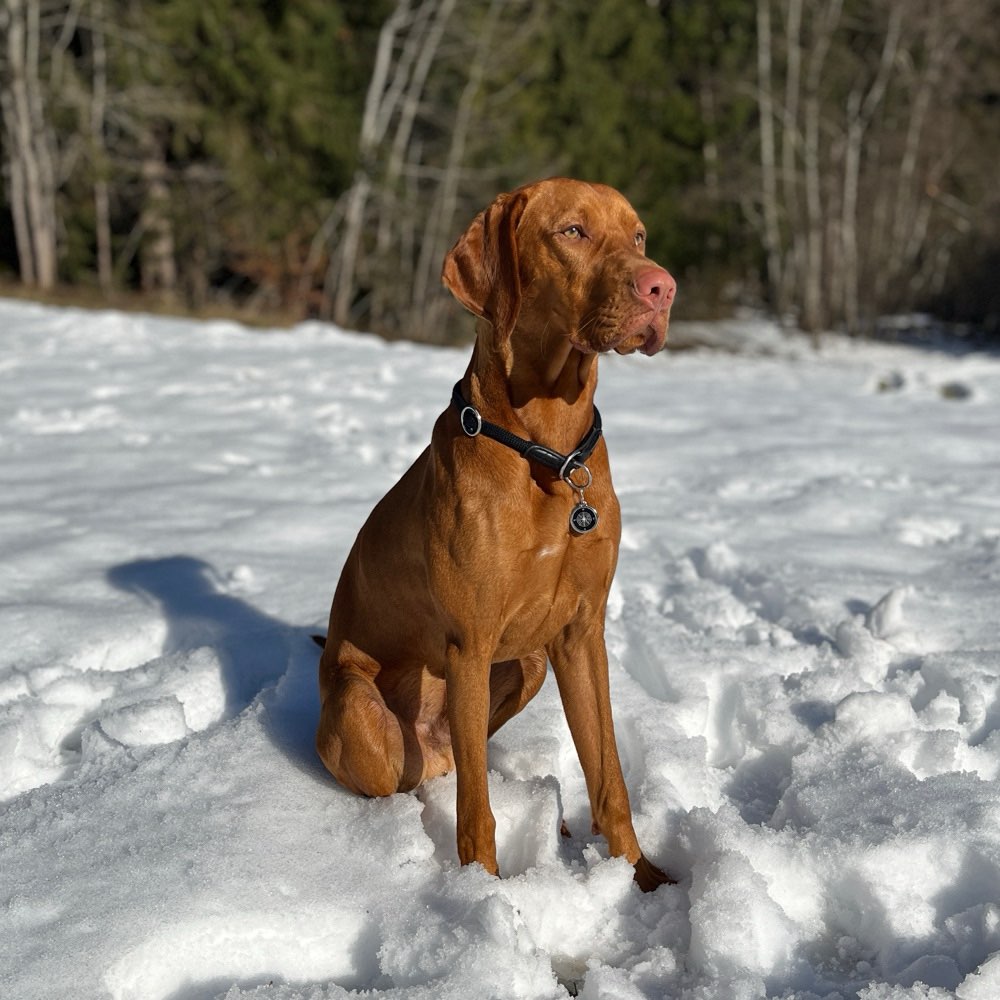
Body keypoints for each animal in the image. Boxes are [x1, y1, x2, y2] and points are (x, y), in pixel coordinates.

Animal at [318, 178, 680, 892]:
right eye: (572, 232)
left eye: (639, 236)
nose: (663, 287)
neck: (551, 456)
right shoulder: (470, 643)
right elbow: (475, 813)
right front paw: (482, 893)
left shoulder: (581, 632)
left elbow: (609, 779)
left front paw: (641, 878)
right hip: (357, 704)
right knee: (423, 780)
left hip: (529, 663)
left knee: (465, 761)